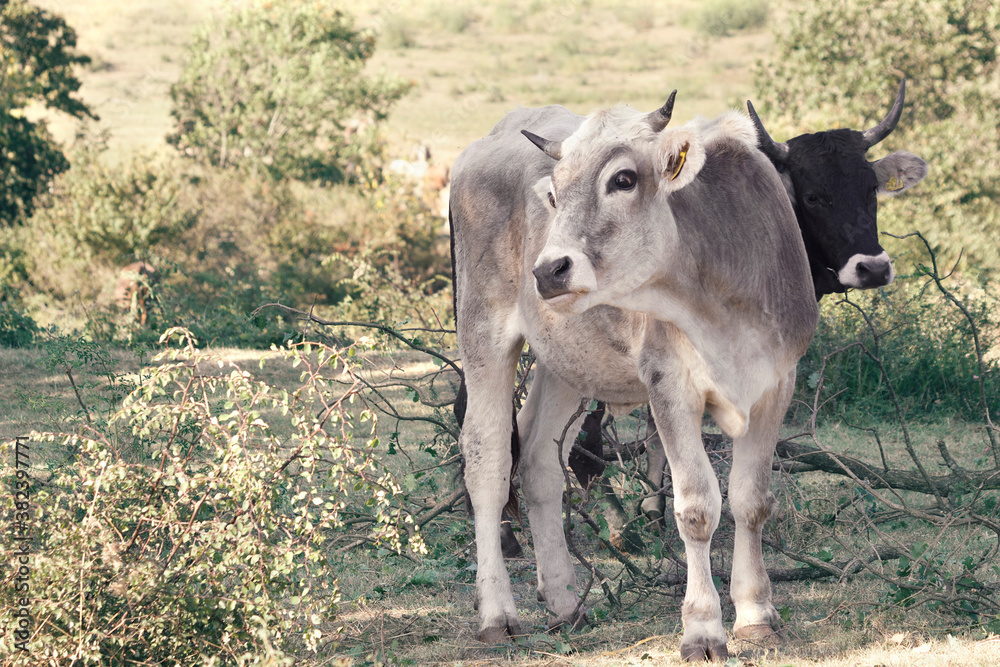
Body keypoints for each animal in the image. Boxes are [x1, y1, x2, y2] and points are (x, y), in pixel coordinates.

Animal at [450, 92, 819, 660]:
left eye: (623, 179)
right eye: (554, 194)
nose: (549, 269)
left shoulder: (777, 383)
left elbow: (753, 501)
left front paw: (757, 615)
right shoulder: (668, 383)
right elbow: (697, 507)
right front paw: (703, 629)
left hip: (567, 361)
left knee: (538, 457)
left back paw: (565, 600)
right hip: (482, 329)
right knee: (488, 458)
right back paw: (498, 613)